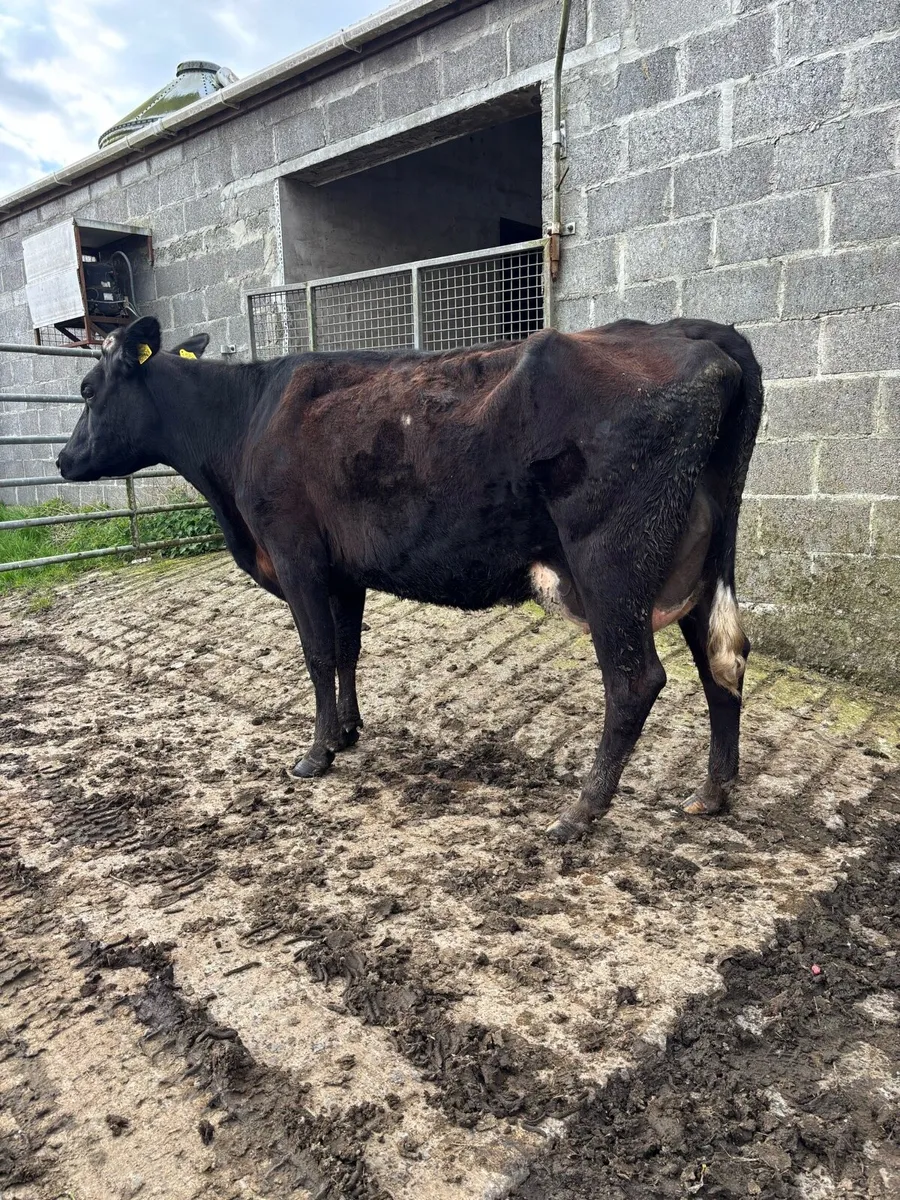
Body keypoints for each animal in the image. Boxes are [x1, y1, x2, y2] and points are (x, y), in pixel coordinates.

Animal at [58, 315, 763, 842]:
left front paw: (316, 753)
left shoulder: (295, 554)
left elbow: (317, 652)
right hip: (699, 560)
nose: (63, 460)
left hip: (611, 564)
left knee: (635, 680)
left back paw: (581, 810)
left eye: (88, 390)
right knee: (722, 659)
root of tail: (695, 332)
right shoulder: (343, 570)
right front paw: (347, 731)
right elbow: (347, 649)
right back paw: (712, 793)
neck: (244, 421)